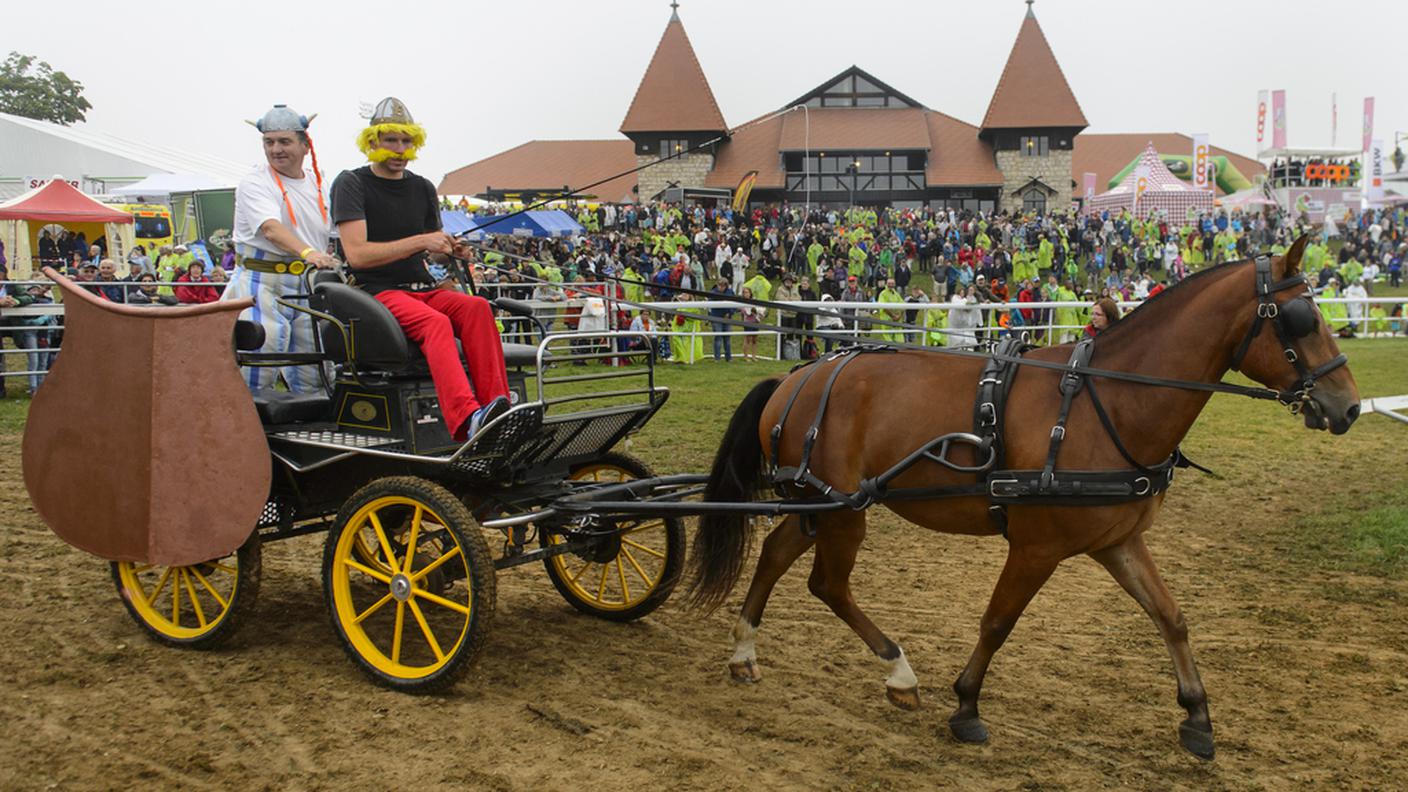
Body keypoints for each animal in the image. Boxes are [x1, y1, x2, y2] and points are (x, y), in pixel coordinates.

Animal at [687, 239, 1357, 760]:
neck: (1108, 402)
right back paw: (898, 671)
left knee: (777, 554)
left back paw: (744, 651)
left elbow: (1170, 616)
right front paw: (966, 706)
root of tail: (797, 375)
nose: (1348, 406)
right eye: (1301, 317)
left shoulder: (1117, 541)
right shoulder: (1038, 547)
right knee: (827, 584)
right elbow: (998, 620)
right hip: (843, 510)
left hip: (817, 505)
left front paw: (1196, 716)